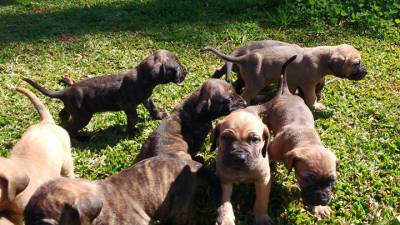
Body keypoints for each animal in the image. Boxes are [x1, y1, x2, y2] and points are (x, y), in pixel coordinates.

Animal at [23, 50, 188, 140]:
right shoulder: (128, 106)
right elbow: (134, 118)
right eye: (176, 67)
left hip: (74, 110)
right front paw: (131, 132)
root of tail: (66, 91)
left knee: (63, 113)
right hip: (83, 116)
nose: (186, 72)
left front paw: (159, 115)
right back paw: (82, 138)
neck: (142, 77)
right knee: (70, 129)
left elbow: (152, 107)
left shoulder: (146, 98)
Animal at [205, 42, 368, 107]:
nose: (366, 72)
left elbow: (292, 91)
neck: (323, 59)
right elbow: (311, 97)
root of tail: (243, 58)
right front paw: (316, 105)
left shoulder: (293, 81)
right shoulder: (308, 85)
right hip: (255, 83)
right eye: (356, 63)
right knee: (244, 95)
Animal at [250, 55, 338, 218]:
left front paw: (319, 208)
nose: (323, 198)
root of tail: (285, 93)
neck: (306, 140)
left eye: (331, 181)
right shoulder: (271, 153)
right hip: (268, 120)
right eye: (308, 179)